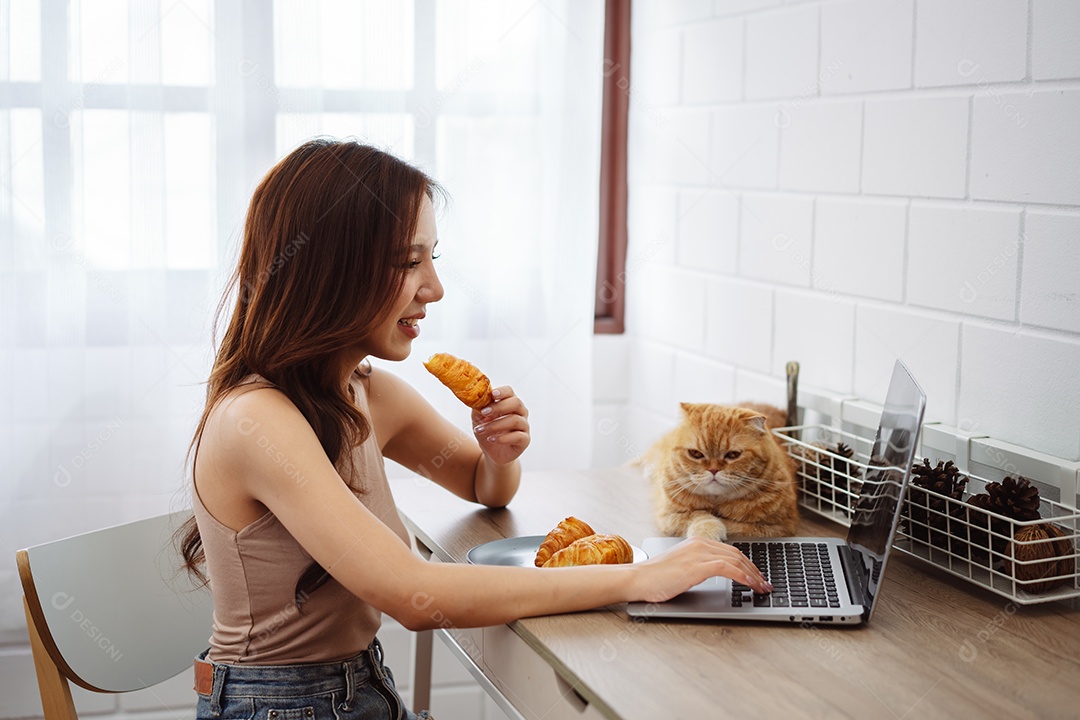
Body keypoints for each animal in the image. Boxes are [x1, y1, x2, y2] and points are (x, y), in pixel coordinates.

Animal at [643, 399, 799, 539]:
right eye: (695, 453)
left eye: (733, 455)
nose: (713, 470)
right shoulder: (668, 516)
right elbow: (698, 514)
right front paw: (708, 531)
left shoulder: (778, 527)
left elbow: (735, 526)